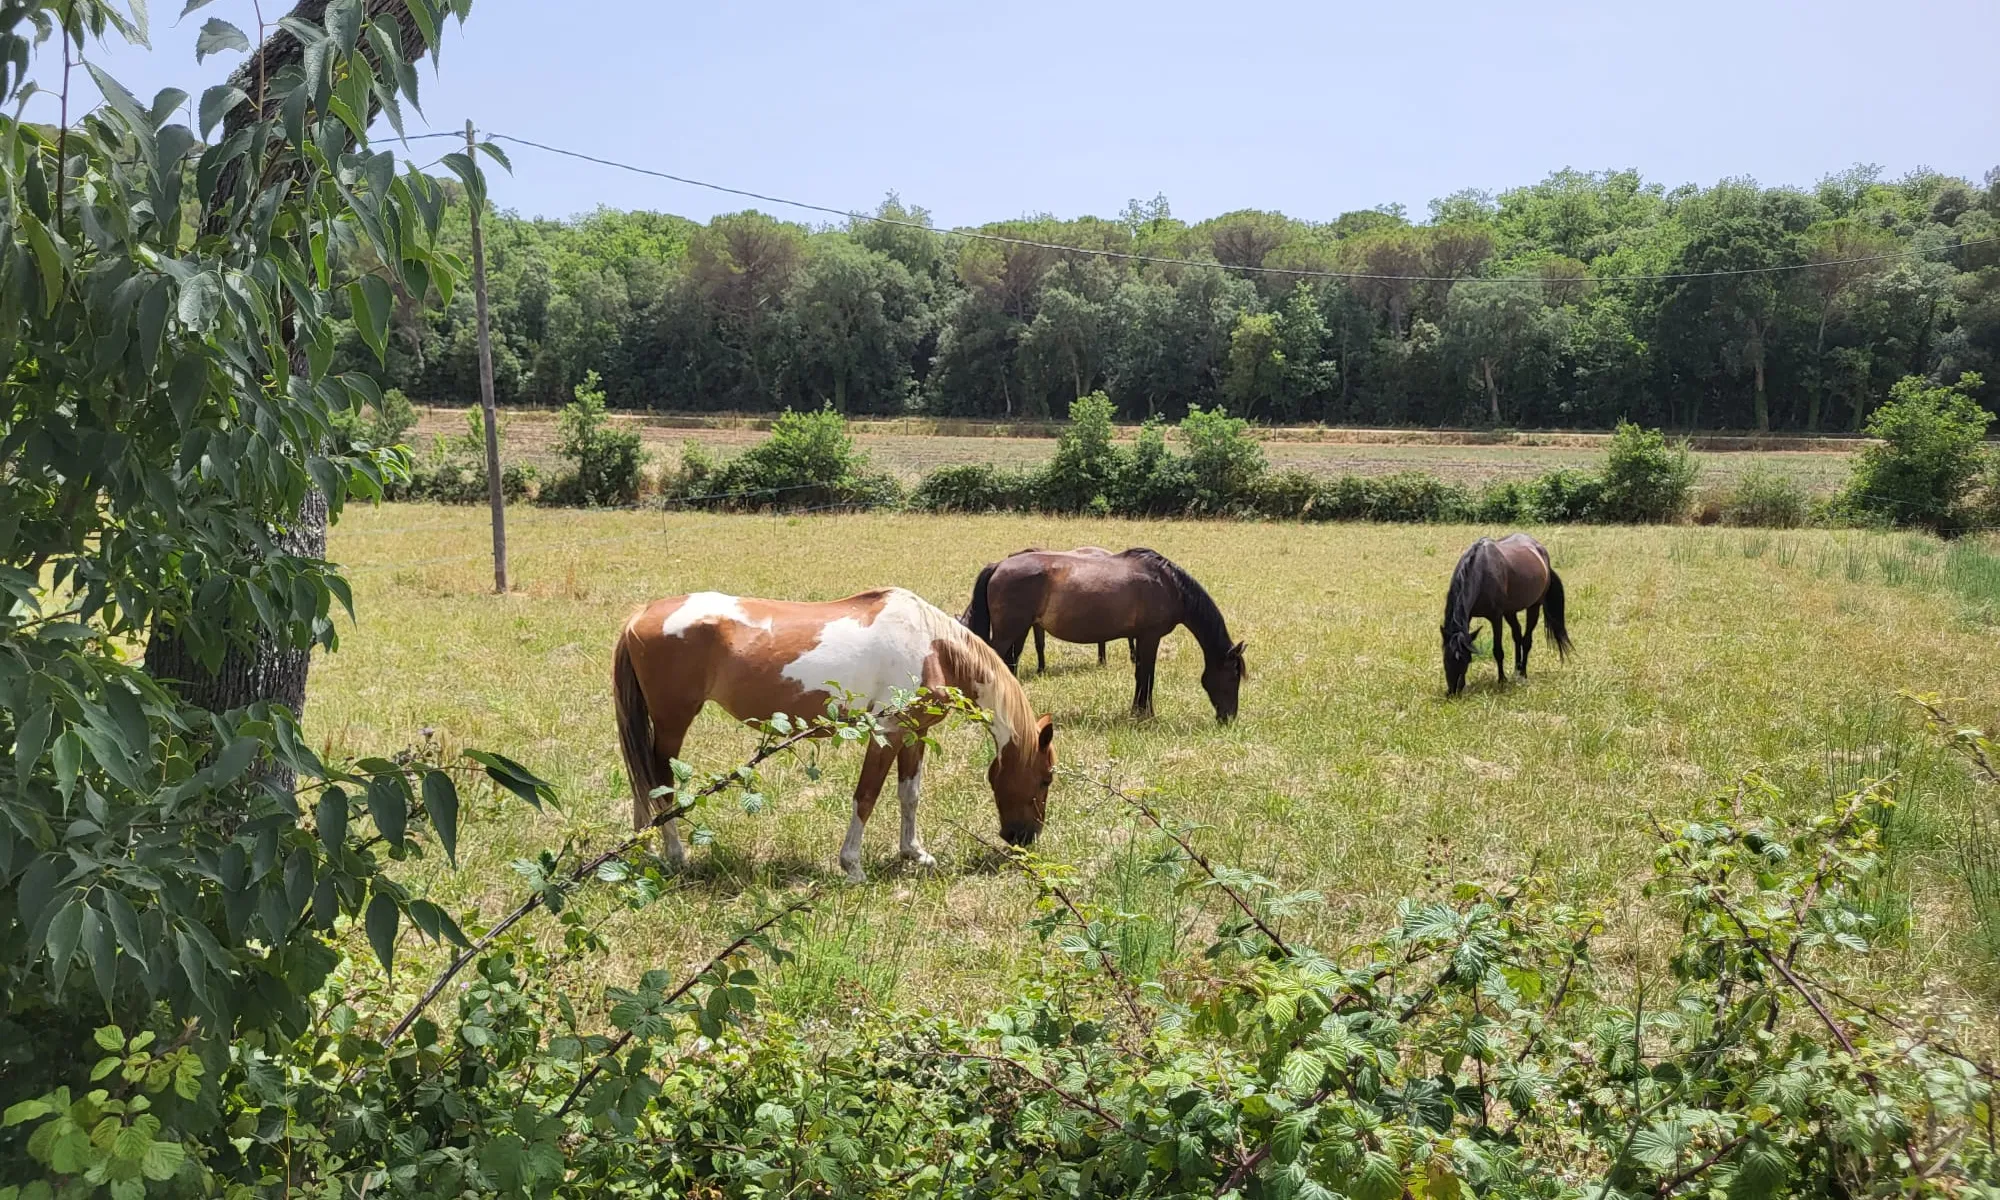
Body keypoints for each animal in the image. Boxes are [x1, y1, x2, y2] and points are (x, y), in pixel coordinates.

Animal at [608, 592, 1056, 880]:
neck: (932, 646)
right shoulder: (887, 734)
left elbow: (909, 795)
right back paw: (675, 854)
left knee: (642, 781)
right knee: (660, 782)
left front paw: (915, 853)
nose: (1024, 838)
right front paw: (852, 866)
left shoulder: (914, 734)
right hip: (673, 720)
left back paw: (646, 850)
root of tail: (639, 616)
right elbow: (866, 797)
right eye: (1046, 778)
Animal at [960, 548, 1240, 716]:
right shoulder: (1150, 637)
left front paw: (1137, 711)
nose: (1229, 718)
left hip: (1019, 631)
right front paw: (1145, 713)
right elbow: (1147, 675)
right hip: (1008, 632)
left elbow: (1141, 674)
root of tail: (999, 565)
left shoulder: (1141, 638)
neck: (1168, 585)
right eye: (1233, 676)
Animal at [1448, 536, 1568, 692]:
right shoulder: (1468, 617)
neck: (1481, 572)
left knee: (1526, 640)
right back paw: (1516, 670)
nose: (1453, 691)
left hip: (1534, 606)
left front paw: (1502, 680)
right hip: (1510, 612)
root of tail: (1541, 551)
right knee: (1517, 635)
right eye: (1446, 657)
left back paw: (1522, 673)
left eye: (1464, 659)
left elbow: (1498, 651)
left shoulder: (1496, 617)